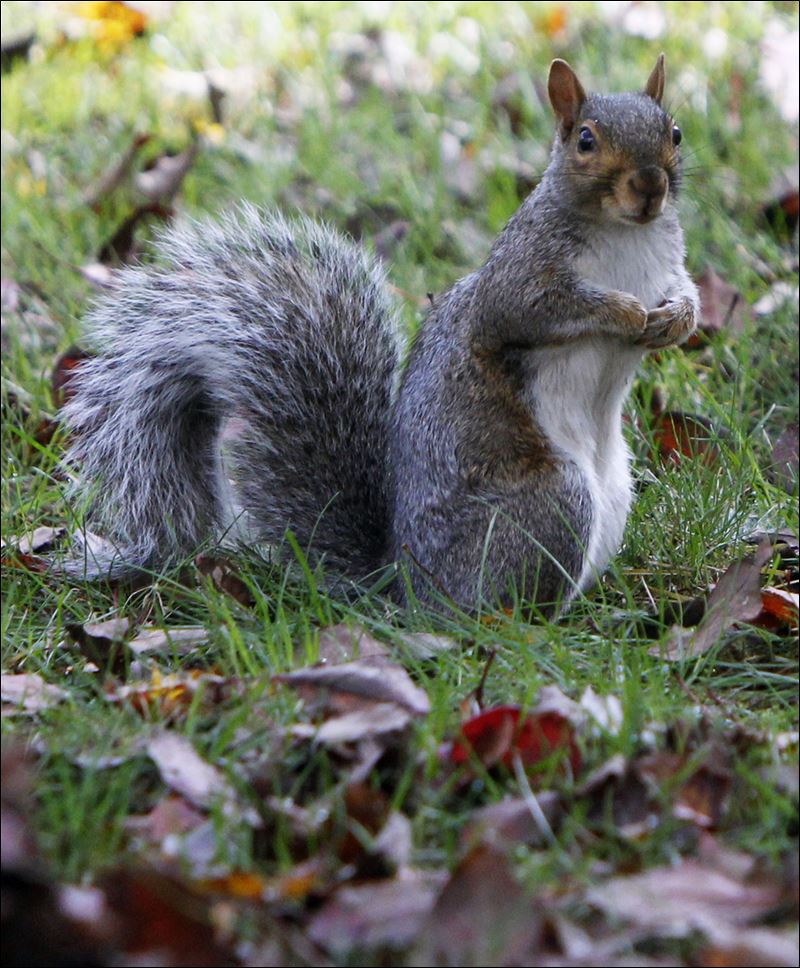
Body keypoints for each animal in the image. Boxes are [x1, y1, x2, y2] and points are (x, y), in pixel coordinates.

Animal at [62, 54, 698, 613]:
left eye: (674, 132)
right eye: (586, 141)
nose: (649, 187)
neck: (626, 235)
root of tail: (404, 584)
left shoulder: (667, 264)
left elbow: (683, 288)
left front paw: (678, 318)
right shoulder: (519, 277)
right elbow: (535, 309)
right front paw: (625, 313)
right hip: (553, 501)